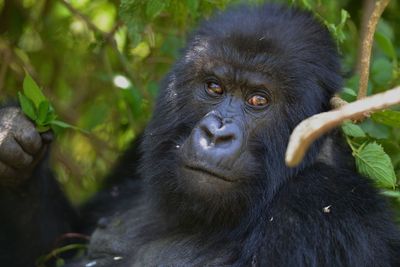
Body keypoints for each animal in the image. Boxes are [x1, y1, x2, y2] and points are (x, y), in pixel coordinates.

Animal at [0, 2, 400, 267]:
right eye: (214, 87)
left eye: (258, 100)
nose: (215, 133)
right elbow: (55, 244)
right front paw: (13, 141)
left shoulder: (321, 208)